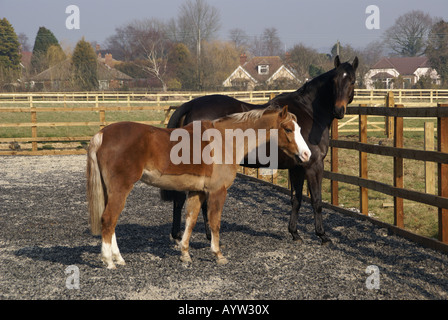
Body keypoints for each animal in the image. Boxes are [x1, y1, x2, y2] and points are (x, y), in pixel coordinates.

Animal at [87, 105, 312, 268]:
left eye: (300, 128)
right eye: (288, 129)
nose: (306, 154)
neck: (226, 140)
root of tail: (102, 135)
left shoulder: (198, 191)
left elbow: (191, 220)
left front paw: (185, 254)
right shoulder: (217, 192)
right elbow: (214, 223)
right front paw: (218, 255)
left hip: (111, 190)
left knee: (111, 222)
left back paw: (118, 258)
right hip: (121, 189)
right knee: (109, 219)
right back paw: (109, 262)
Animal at [161, 55, 356, 245]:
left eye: (352, 81)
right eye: (334, 81)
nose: (339, 110)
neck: (308, 113)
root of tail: (189, 106)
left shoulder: (297, 167)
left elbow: (296, 199)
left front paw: (295, 233)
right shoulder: (313, 165)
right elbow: (316, 200)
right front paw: (323, 236)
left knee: (182, 199)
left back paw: (183, 235)